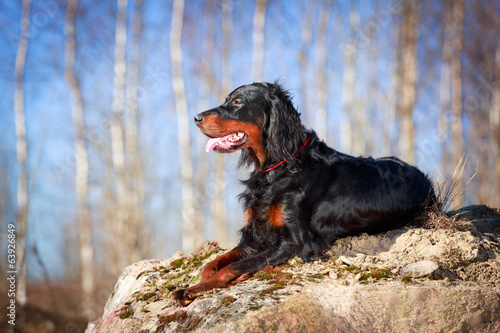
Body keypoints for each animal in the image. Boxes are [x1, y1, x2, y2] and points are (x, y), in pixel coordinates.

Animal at [173, 81, 438, 304]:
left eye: (238, 102)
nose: (196, 118)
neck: (277, 168)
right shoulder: (254, 235)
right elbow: (213, 263)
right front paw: (194, 285)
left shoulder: (294, 243)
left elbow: (232, 267)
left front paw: (197, 289)